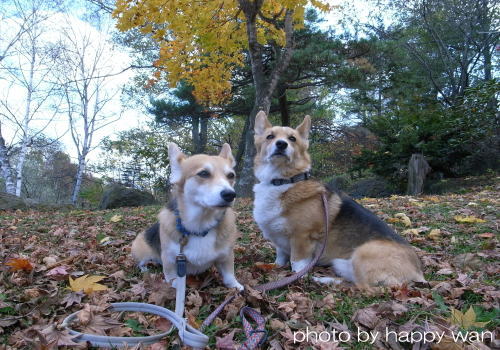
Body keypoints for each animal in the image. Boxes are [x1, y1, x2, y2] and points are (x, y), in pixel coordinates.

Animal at [132, 142, 243, 290]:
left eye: (231, 175)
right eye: (203, 173)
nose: (230, 194)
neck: (200, 225)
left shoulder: (226, 255)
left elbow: (229, 274)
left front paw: (235, 286)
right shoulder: (169, 259)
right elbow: (172, 278)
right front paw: (177, 286)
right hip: (142, 252)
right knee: (141, 263)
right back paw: (145, 269)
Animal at [252, 111, 424, 288]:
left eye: (292, 138)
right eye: (270, 136)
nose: (281, 144)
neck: (283, 181)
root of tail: (417, 273)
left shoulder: (301, 238)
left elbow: (297, 264)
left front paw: (297, 278)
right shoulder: (279, 240)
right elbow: (280, 257)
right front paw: (275, 268)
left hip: (362, 253)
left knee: (362, 287)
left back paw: (320, 280)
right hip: (342, 264)